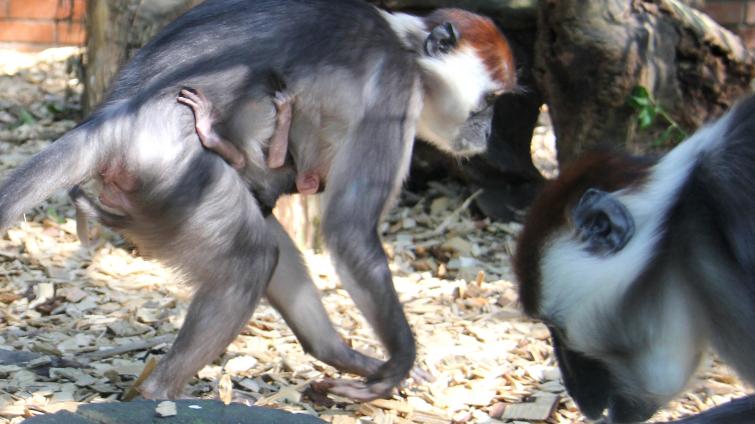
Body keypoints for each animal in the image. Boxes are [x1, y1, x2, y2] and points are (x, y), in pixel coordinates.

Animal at [0, 0, 512, 400]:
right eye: (488, 103)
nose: (488, 132)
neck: (405, 43)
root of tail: (112, 119)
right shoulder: (396, 87)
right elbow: (348, 230)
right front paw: (399, 362)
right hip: (173, 168)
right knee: (251, 257)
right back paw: (158, 393)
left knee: (267, 242)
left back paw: (336, 353)